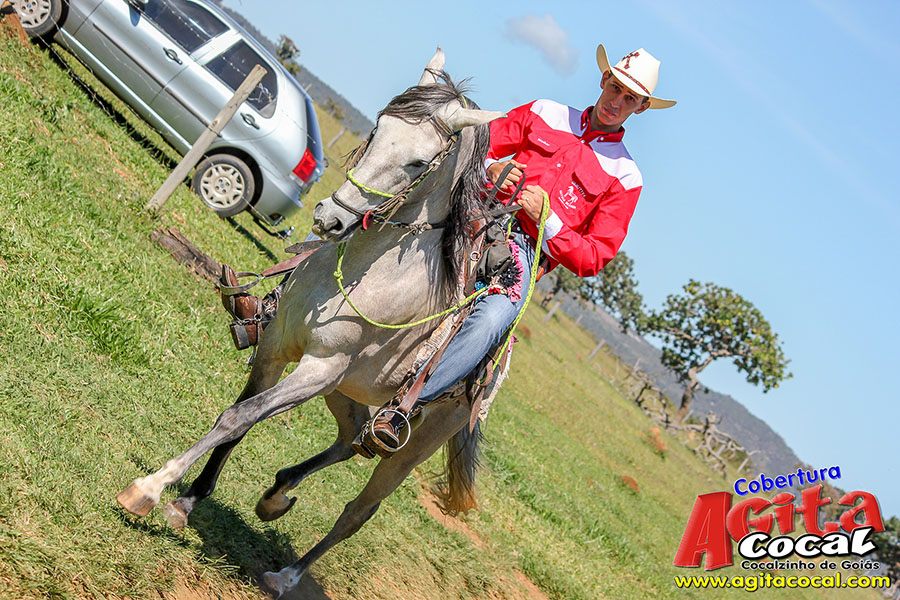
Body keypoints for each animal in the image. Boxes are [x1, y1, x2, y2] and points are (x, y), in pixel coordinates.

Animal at [116, 49, 506, 598]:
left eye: (416, 162)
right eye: (378, 127)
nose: (328, 218)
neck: (367, 274)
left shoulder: (320, 368)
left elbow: (241, 417)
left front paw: (150, 488)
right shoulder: (276, 348)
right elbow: (236, 420)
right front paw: (187, 501)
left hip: (409, 443)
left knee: (359, 511)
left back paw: (286, 574)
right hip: (345, 395)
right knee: (350, 438)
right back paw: (278, 493)